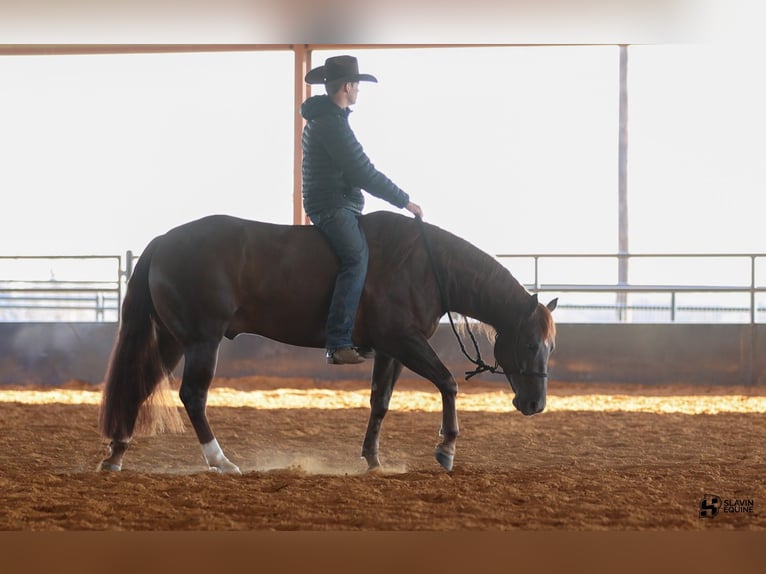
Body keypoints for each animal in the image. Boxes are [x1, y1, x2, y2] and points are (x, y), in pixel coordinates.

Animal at [98, 211, 557, 474]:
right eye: (531, 345)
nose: (536, 404)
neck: (426, 266)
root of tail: (163, 242)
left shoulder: (391, 350)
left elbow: (380, 402)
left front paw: (373, 459)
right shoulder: (404, 341)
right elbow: (447, 383)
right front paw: (445, 449)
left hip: (173, 340)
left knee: (139, 387)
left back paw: (116, 454)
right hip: (201, 341)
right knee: (193, 396)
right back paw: (220, 460)